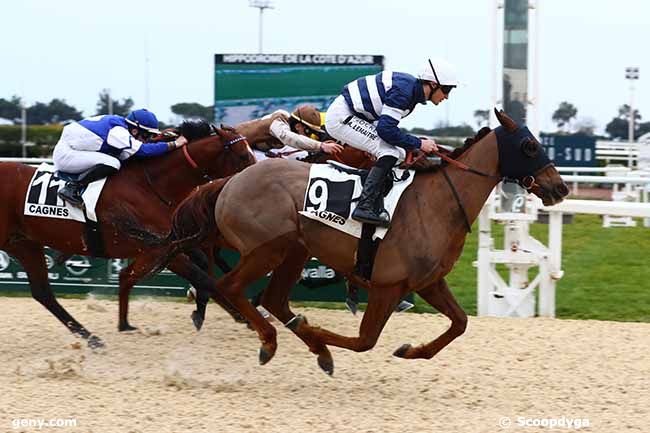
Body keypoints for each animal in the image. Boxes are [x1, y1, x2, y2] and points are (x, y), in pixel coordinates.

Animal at [0, 122, 253, 348]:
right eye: (242, 156)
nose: (253, 180)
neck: (149, 186)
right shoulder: (158, 249)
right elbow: (204, 278)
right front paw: (242, 316)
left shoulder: (168, 246)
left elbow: (201, 269)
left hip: (24, 244)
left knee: (43, 293)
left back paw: (92, 338)